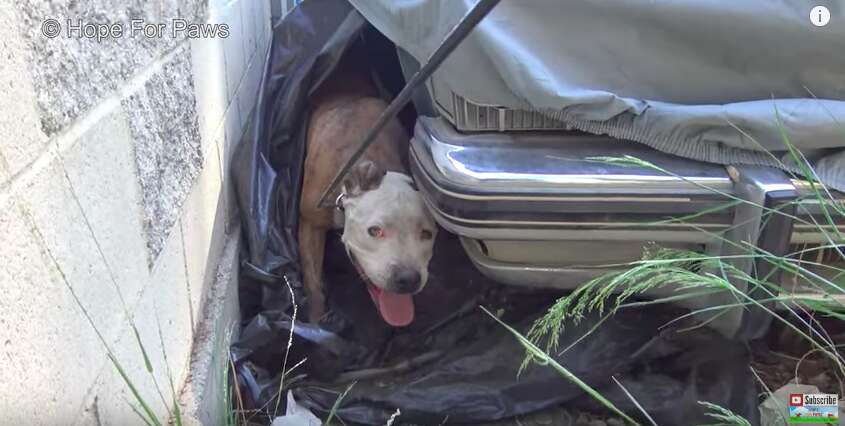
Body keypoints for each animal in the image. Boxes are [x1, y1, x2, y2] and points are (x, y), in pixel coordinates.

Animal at [296, 59, 438, 326]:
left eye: (427, 234)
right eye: (375, 231)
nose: (408, 278)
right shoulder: (309, 221)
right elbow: (312, 280)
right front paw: (316, 321)